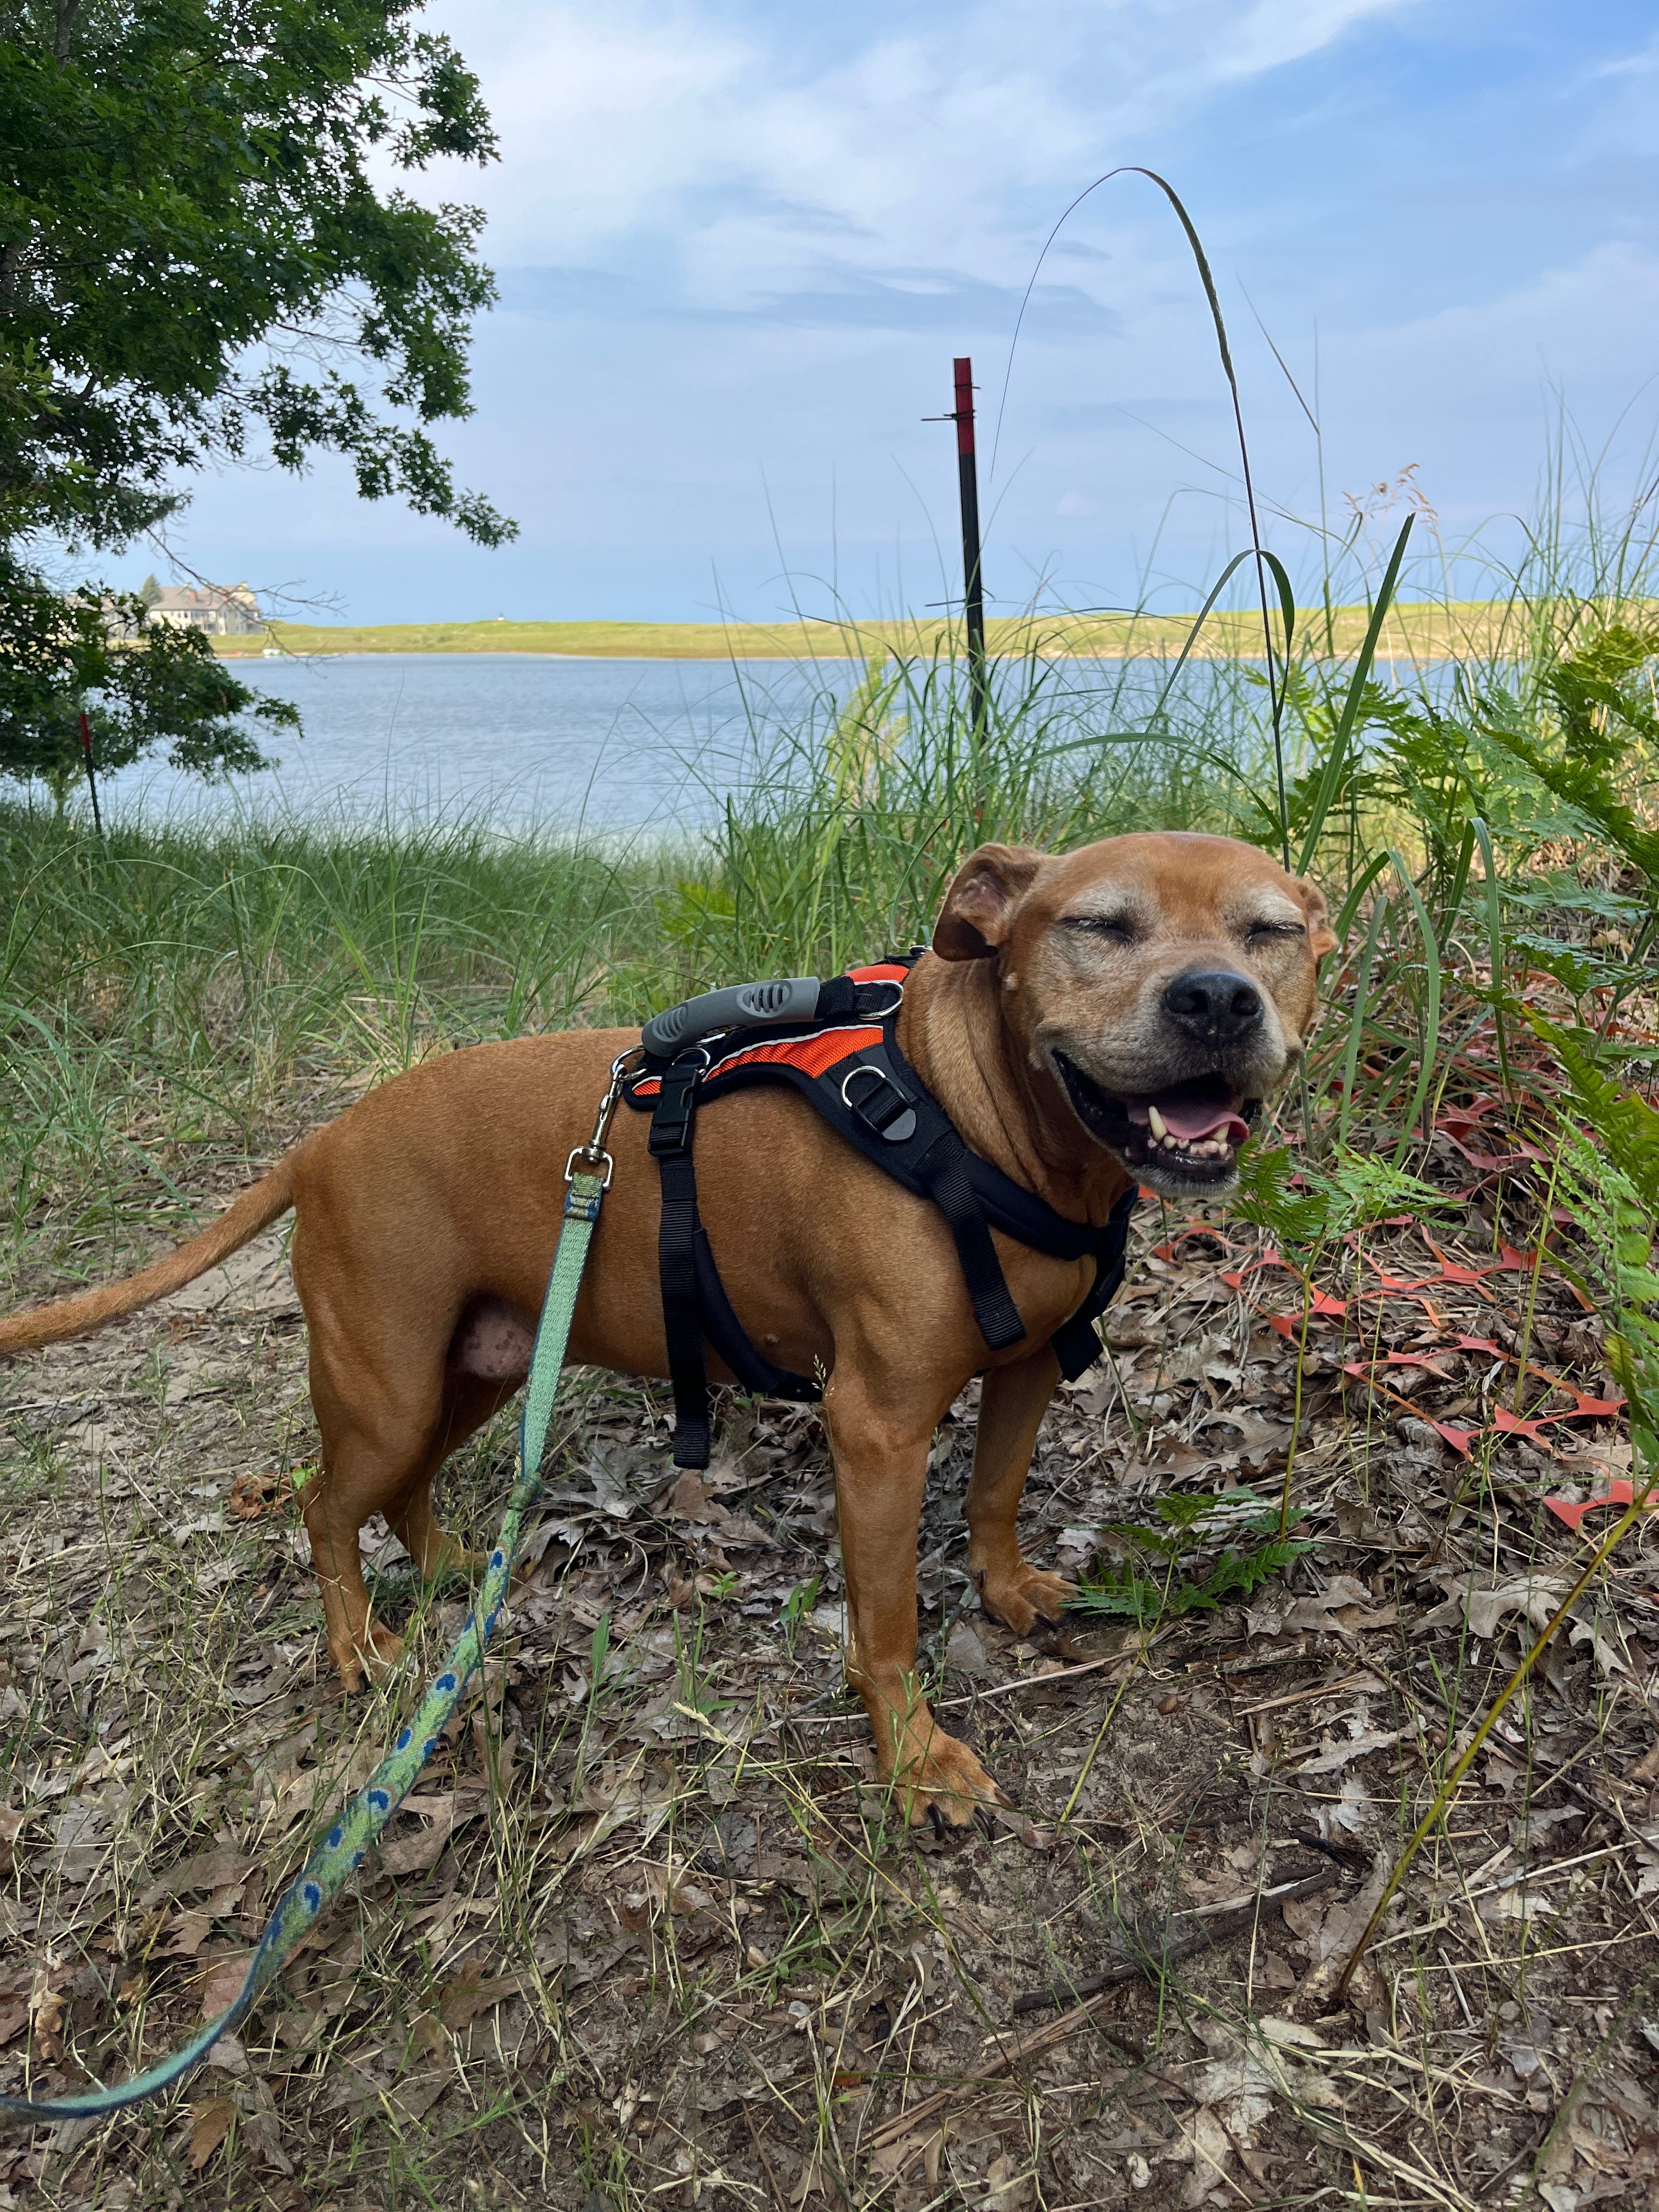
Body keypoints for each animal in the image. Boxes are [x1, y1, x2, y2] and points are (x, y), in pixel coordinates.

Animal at [0, 833, 1333, 1823]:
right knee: (327, 1506)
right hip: (384, 1387)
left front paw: (1005, 1592)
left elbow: (996, 1497)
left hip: (478, 1368)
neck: (977, 1123)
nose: (1217, 1000)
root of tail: (324, 1140)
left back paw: (450, 1572)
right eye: (1098, 926)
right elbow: (889, 1618)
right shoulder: (877, 1427)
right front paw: (912, 1757)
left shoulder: (1025, 1372)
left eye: (1270, 932)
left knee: (404, 1490)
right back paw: (358, 1649)